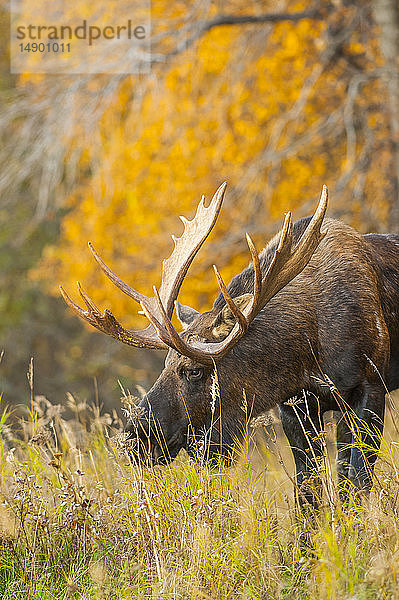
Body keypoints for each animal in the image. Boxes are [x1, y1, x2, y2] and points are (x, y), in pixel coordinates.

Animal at [60, 185, 399, 504]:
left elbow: (355, 485)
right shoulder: (294, 408)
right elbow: (308, 495)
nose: (134, 439)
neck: (307, 352)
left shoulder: (369, 388)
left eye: (194, 370)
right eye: (165, 363)